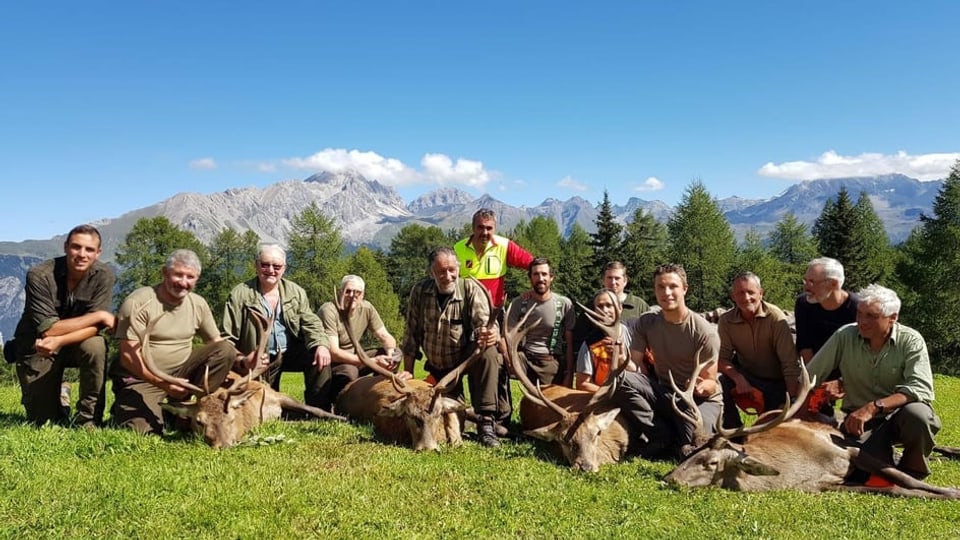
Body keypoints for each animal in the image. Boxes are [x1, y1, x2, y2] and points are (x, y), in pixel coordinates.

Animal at [148, 308, 344, 448]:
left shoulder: (276, 397)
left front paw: (341, 418)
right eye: (198, 421)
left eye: (231, 418)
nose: (224, 445)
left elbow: (316, 411)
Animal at [664, 362, 960, 498]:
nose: (669, 479)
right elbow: (892, 488)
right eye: (687, 456)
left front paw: (951, 491)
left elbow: (905, 479)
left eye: (711, 462)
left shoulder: (849, 450)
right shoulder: (821, 486)